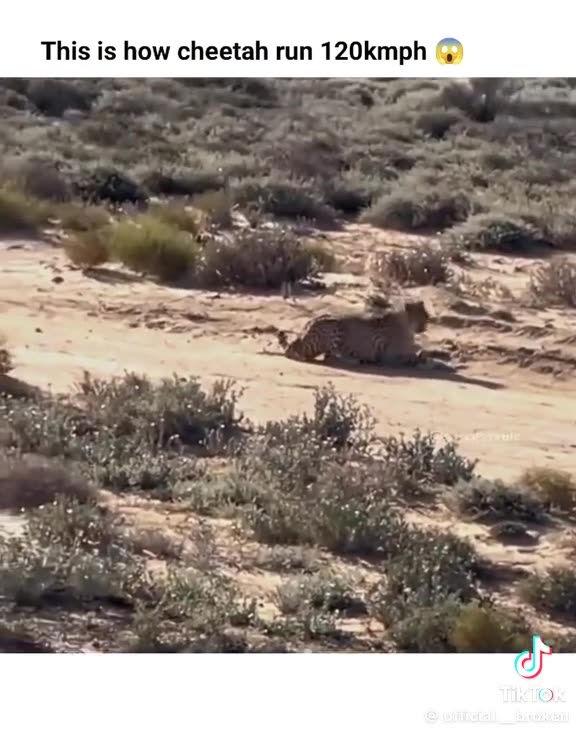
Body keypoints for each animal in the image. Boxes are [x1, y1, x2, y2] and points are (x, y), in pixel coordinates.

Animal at [277, 299, 431, 366]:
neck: (407, 321)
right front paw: (425, 358)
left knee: (328, 355)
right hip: (335, 327)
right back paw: (355, 360)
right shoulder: (390, 355)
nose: (426, 326)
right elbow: (414, 356)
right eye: (424, 315)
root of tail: (311, 320)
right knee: (331, 356)